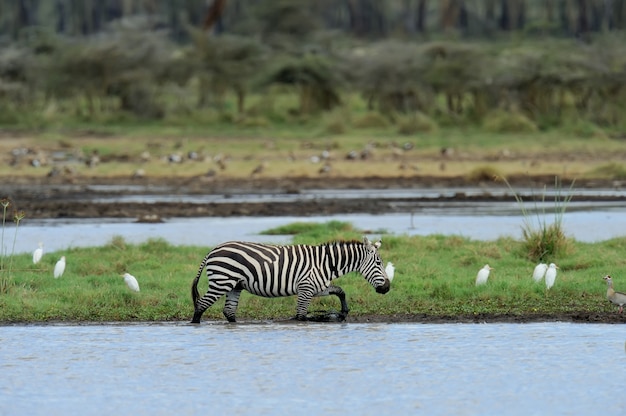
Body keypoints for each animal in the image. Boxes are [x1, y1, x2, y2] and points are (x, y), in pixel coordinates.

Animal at [189, 237, 390, 322]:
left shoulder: (316, 287)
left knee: (229, 312)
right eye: (378, 263)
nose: (387, 288)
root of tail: (213, 249)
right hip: (222, 282)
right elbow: (301, 316)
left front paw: (343, 311)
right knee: (201, 305)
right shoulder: (306, 289)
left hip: (234, 286)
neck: (325, 263)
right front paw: (324, 317)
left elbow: (340, 290)